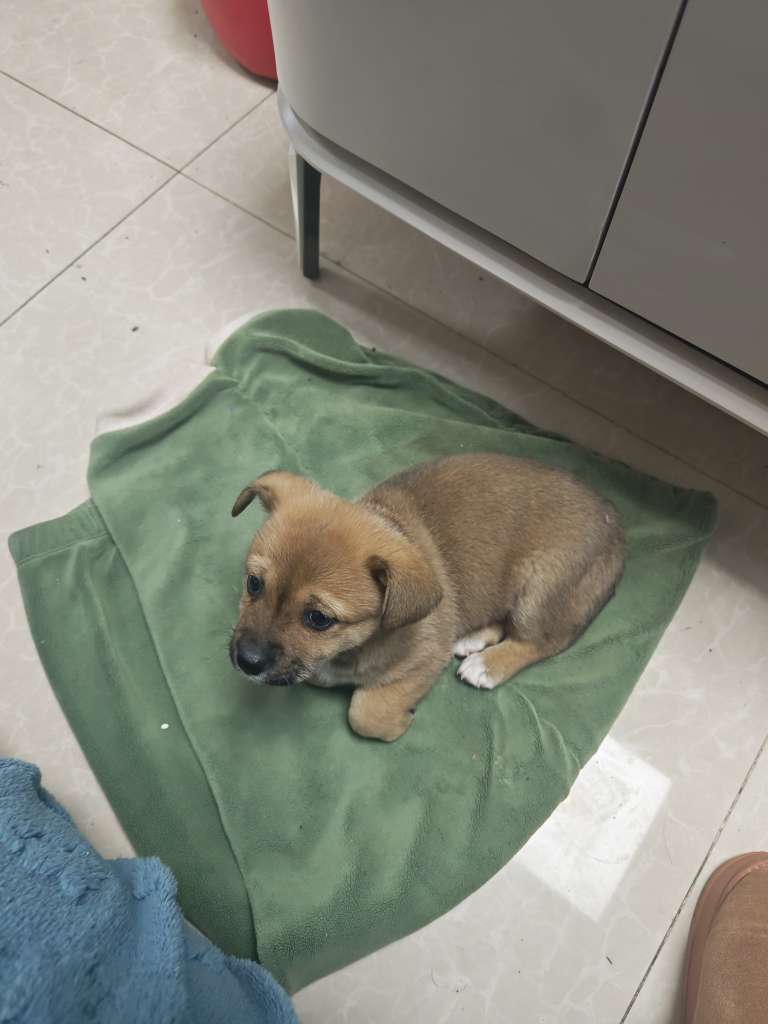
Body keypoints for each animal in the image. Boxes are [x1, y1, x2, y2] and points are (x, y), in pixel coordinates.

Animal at [229, 454, 624, 742]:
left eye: (319, 619)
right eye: (253, 583)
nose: (246, 661)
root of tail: (616, 528)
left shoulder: (425, 659)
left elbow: (366, 713)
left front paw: (398, 720)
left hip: (539, 588)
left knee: (540, 642)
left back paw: (488, 665)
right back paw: (472, 639)